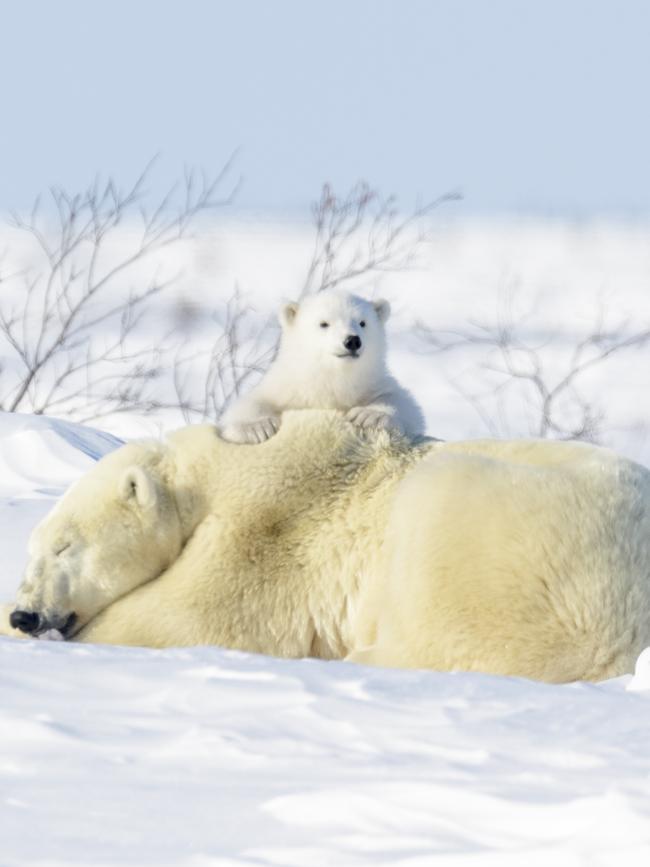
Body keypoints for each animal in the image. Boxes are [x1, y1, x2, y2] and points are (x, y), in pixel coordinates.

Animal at [3, 414, 648, 684]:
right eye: (35, 548)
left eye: (64, 546)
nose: (25, 613)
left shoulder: (269, 523)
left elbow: (188, 614)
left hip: (504, 540)